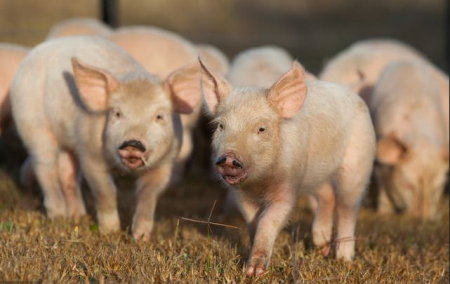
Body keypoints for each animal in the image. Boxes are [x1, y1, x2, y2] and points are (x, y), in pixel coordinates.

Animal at [9, 35, 200, 240]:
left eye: (159, 116)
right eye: (117, 113)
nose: (133, 142)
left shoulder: (165, 164)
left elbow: (149, 195)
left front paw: (140, 237)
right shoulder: (90, 155)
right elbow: (106, 191)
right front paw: (110, 231)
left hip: (68, 141)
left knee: (68, 174)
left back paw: (77, 215)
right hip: (33, 124)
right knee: (45, 168)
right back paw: (58, 215)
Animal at [199, 58, 378, 276]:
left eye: (261, 129)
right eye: (221, 126)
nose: (228, 158)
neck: (260, 182)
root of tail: (351, 90)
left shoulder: (287, 186)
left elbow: (268, 220)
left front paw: (255, 272)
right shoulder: (242, 195)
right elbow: (253, 221)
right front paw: (249, 269)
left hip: (358, 163)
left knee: (347, 208)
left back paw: (343, 259)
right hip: (316, 174)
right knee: (328, 196)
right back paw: (321, 247)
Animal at [370, 60, 448, 220]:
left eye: (437, 188)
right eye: (408, 186)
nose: (424, 219)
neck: (421, 138)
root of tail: (406, 62)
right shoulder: (381, 165)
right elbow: (382, 186)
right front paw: (383, 213)